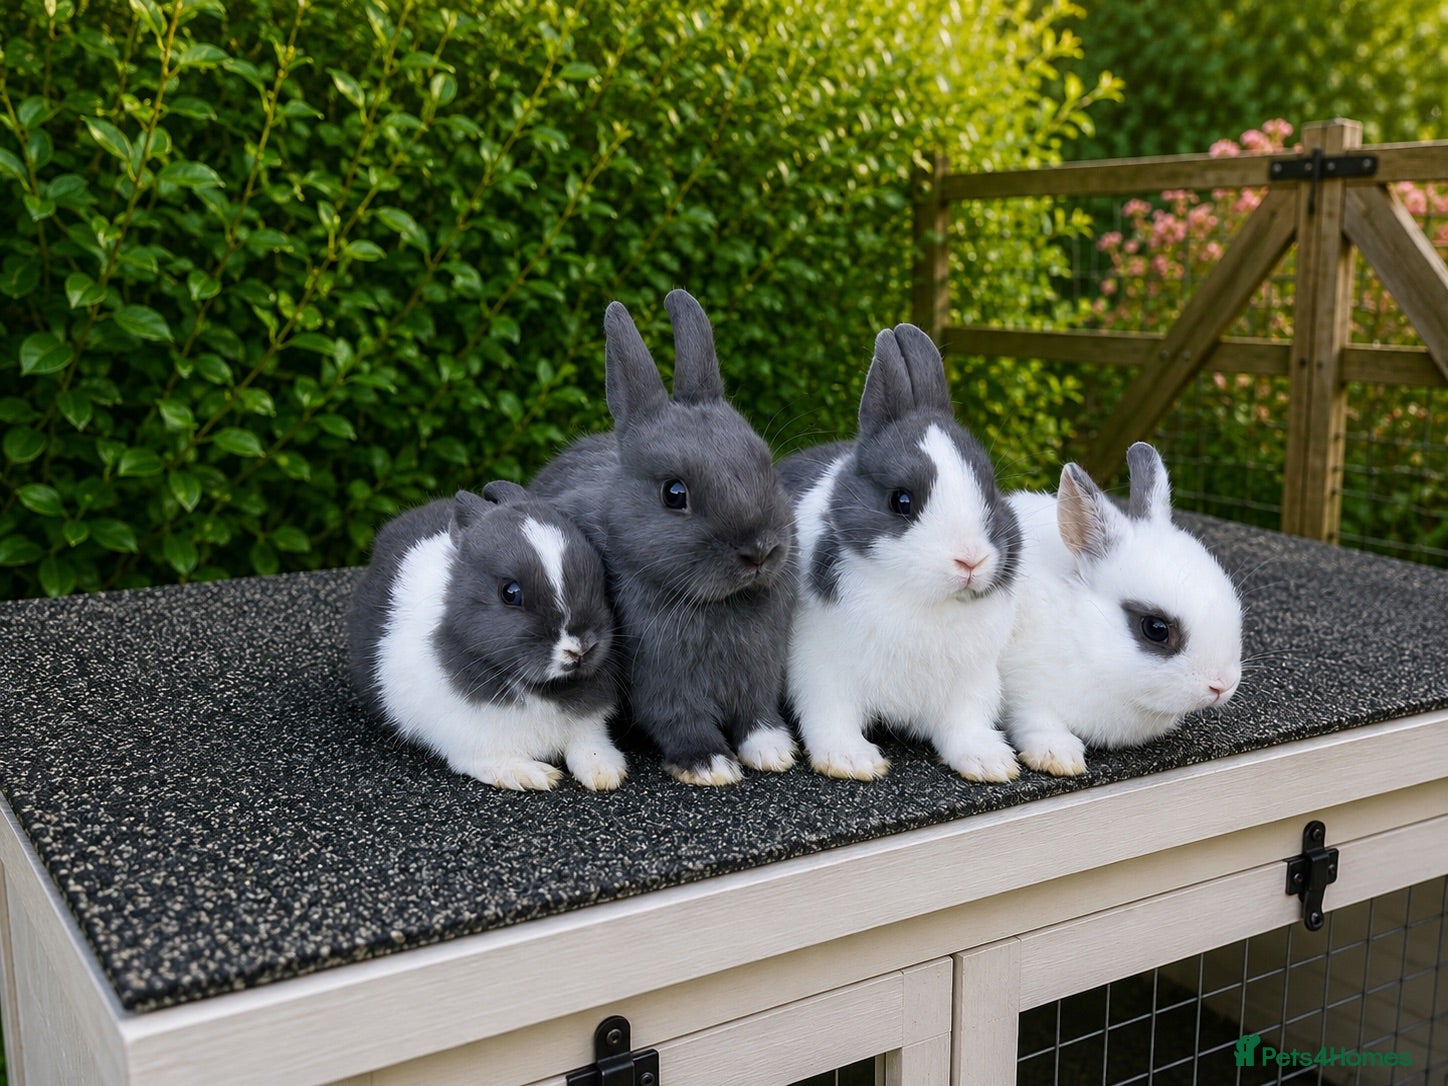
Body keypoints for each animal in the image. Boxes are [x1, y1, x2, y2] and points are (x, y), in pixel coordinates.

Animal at [347, 481, 627, 791]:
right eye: (510, 593)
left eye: (599, 576)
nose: (580, 648)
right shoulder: (473, 742)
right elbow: (494, 761)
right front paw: (534, 776)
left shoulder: (588, 726)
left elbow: (589, 744)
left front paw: (605, 773)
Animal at [530, 290, 798, 786]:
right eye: (675, 494)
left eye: (766, 466)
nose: (759, 551)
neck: (721, 604)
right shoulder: (663, 683)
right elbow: (679, 719)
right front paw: (711, 765)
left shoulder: (759, 673)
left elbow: (757, 714)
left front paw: (773, 751)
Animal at [779, 323, 1022, 783]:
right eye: (901, 500)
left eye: (990, 489)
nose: (970, 559)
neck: (920, 600)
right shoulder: (821, 669)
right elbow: (830, 717)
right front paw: (852, 761)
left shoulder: (971, 683)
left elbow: (965, 726)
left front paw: (990, 763)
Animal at [1000, 442, 1244, 777]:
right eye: (1156, 628)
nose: (1222, 684)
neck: (1079, 638)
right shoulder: (1024, 692)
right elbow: (1034, 720)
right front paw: (1059, 757)